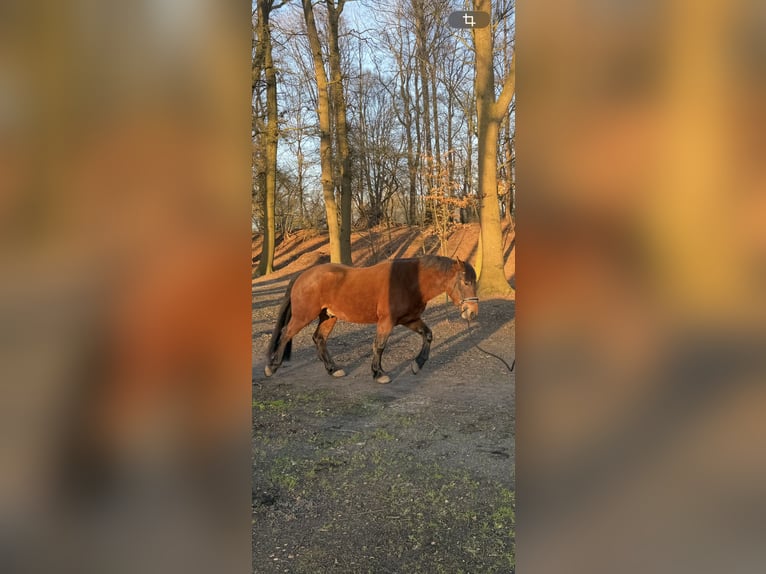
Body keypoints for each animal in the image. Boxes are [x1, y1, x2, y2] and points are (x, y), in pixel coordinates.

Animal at [264, 255, 479, 384]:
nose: (472, 312)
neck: (410, 281)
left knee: (319, 338)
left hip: (329, 316)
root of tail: (303, 275)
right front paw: (378, 373)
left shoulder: (409, 319)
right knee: (286, 334)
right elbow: (379, 345)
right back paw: (272, 367)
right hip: (303, 316)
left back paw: (333, 369)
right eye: (466, 282)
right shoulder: (387, 321)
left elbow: (428, 335)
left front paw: (417, 365)